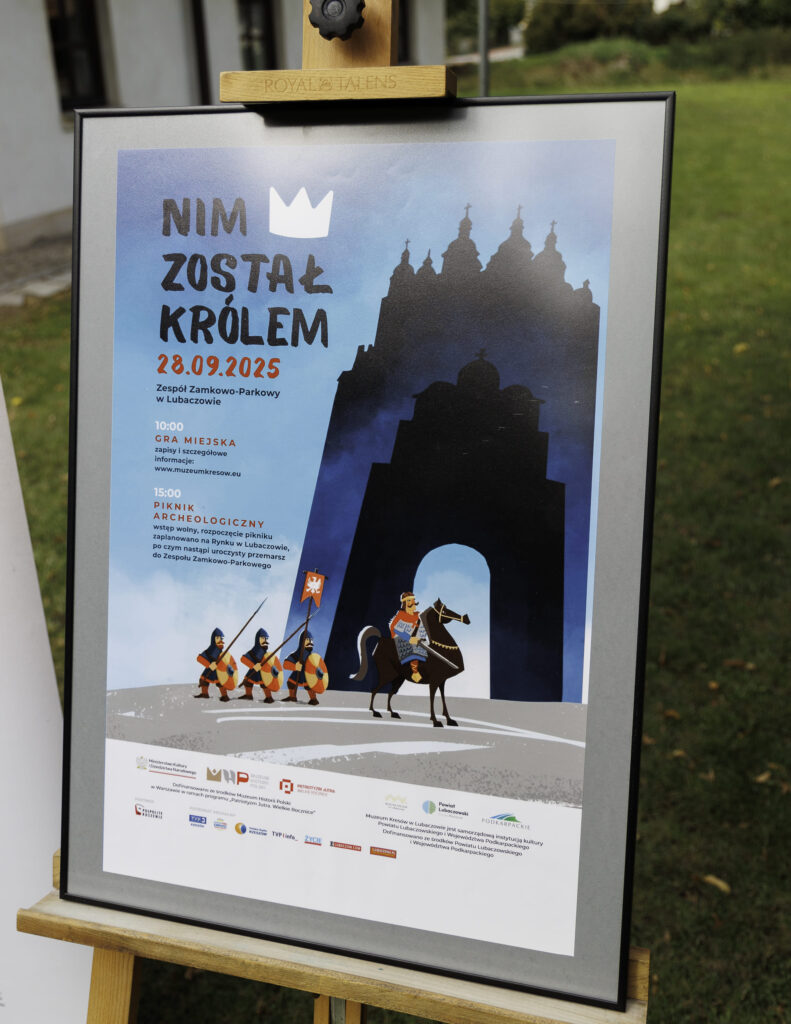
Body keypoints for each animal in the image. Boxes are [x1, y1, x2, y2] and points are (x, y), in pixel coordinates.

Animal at [350, 598, 470, 727]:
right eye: (445, 610)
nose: (466, 618)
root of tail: (381, 640)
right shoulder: (434, 681)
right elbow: (432, 697)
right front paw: (435, 721)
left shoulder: (442, 681)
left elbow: (442, 697)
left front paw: (449, 720)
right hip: (388, 674)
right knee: (375, 690)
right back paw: (375, 712)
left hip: (398, 678)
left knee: (390, 693)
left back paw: (393, 713)